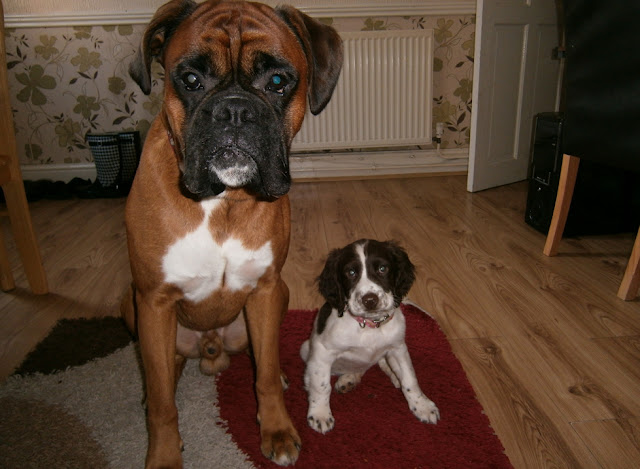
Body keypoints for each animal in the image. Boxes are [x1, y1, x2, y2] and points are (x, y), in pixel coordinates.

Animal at [119, 1, 340, 466]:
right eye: (190, 79)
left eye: (277, 81)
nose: (235, 110)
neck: (223, 201)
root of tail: (210, 348)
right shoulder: (154, 300)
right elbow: (164, 402)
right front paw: (163, 453)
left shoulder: (266, 290)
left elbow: (266, 376)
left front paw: (276, 429)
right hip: (132, 305)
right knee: (163, 369)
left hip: (281, 295)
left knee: (261, 358)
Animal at [300, 239, 440, 434]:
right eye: (351, 273)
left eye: (382, 268)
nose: (370, 300)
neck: (369, 325)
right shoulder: (323, 351)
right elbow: (321, 384)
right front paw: (320, 414)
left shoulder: (398, 347)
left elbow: (410, 378)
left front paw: (422, 406)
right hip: (306, 348)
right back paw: (345, 378)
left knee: (377, 363)